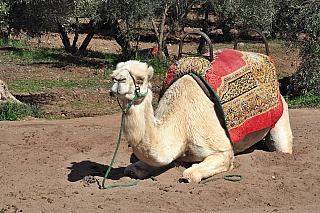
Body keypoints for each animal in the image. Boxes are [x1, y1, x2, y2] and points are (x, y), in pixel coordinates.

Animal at [110, 55, 292, 183]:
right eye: (114, 75)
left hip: (282, 114)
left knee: (283, 147)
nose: (118, 79)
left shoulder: (223, 151)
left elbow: (191, 174)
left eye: (140, 79)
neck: (181, 126)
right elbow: (132, 169)